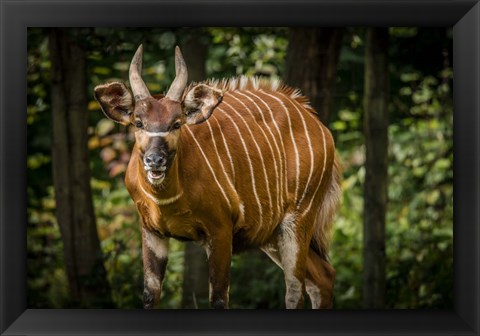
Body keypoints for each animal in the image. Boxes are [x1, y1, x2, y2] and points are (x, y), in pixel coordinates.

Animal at [94, 45, 342, 310]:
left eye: (177, 123)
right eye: (138, 122)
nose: (155, 160)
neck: (169, 201)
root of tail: (317, 123)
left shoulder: (221, 230)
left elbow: (220, 298)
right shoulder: (151, 231)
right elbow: (150, 295)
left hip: (299, 217)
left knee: (295, 288)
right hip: (272, 234)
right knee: (324, 276)